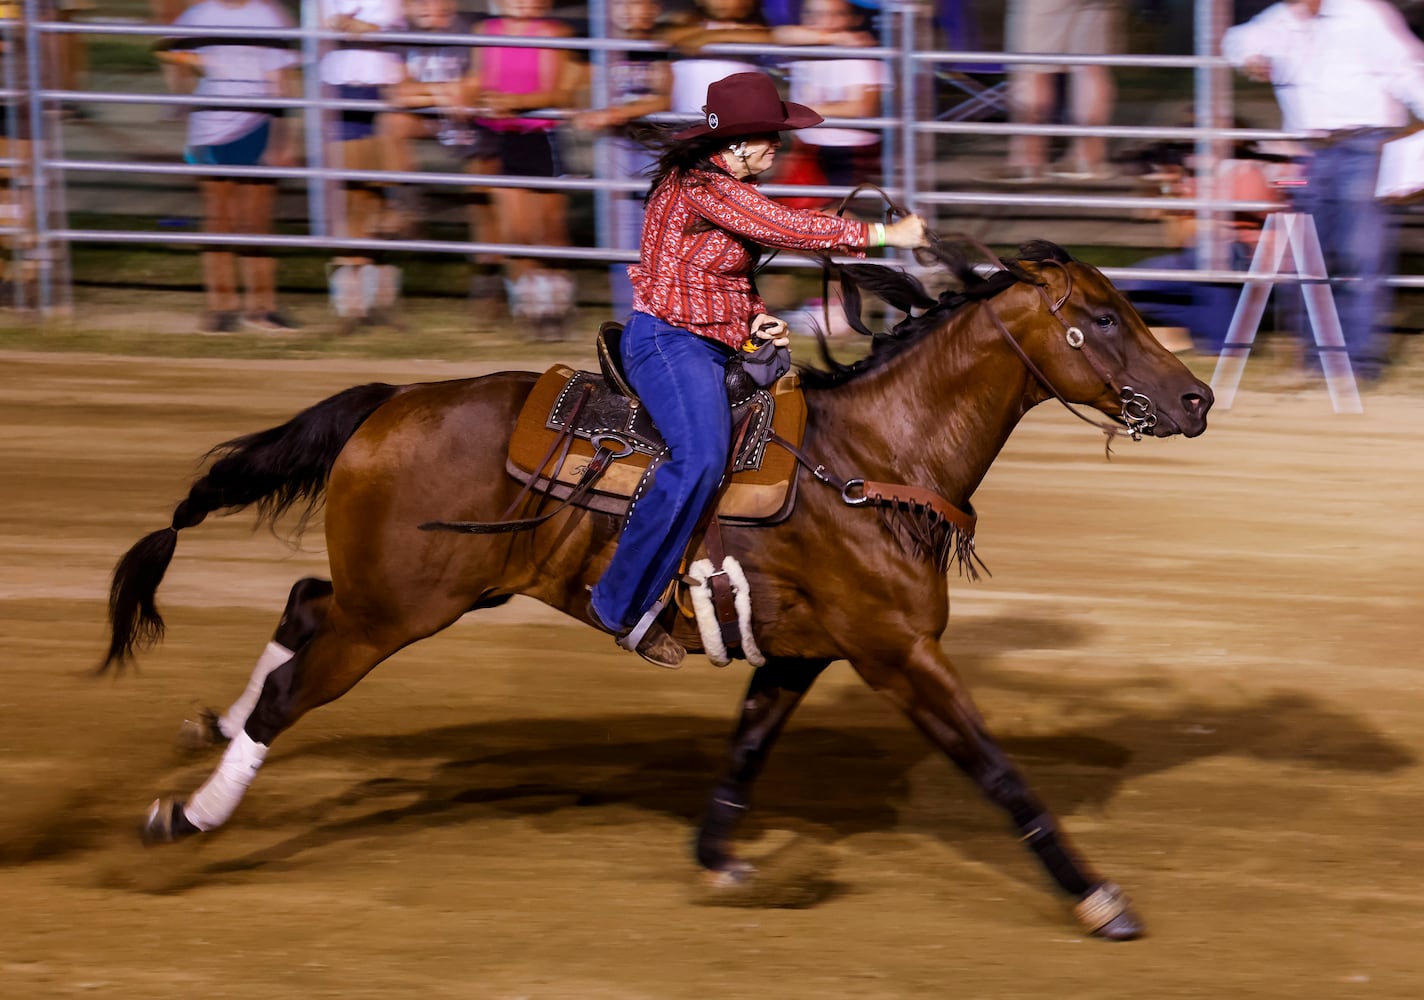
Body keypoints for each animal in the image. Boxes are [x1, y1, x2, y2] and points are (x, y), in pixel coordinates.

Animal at [103, 240, 1213, 940]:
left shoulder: (804, 651)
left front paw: (720, 859)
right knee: (293, 688)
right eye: (1098, 318)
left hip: (402, 595)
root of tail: (390, 402)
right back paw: (188, 818)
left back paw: (208, 727)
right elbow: (996, 769)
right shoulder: (898, 652)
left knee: (299, 605)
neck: (871, 458)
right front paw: (1099, 900)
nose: (1197, 397)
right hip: (395, 612)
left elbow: (748, 749)